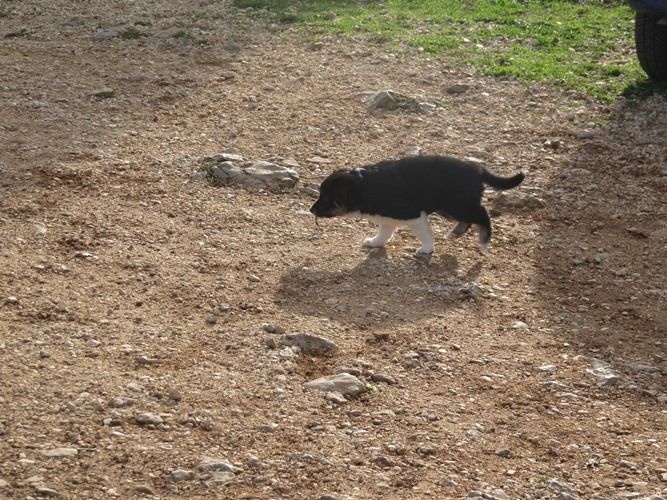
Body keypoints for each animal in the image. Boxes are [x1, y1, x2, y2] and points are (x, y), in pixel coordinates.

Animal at [309, 155, 524, 254]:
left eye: (326, 197)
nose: (310, 209)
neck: (363, 186)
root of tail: (478, 169)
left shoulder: (412, 214)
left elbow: (425, 234)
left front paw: (426, 249)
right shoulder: (387, 218)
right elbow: (384, 233)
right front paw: (375, 242)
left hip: (457, 205)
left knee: (482, 215)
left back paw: (484, 242)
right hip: (448, 208)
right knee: (470, 219)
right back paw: (454, 234)